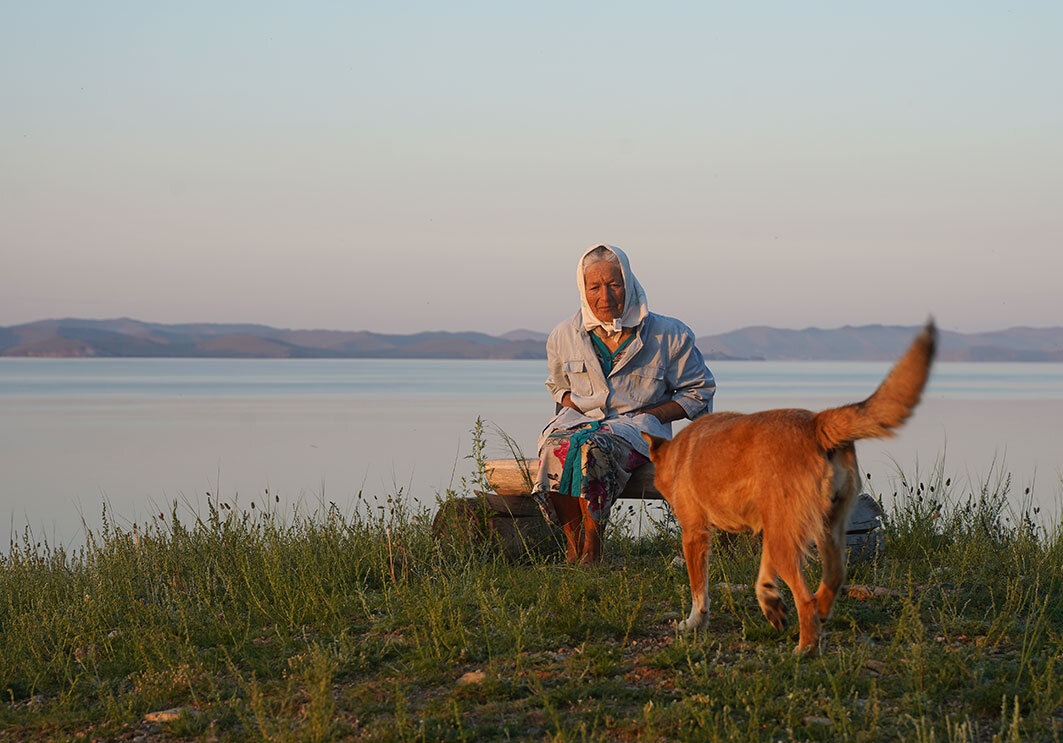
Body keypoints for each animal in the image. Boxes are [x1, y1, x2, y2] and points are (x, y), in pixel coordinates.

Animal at [642, 323, 935, 654]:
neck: (677, 453)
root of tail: (817, 423)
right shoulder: (772, 528)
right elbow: (763, 578)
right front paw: (771, 604)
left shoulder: (696, 533)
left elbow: (698, 590)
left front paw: (694, 622)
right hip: (824, 530)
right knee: (833, 578)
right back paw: (821, 614)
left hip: (791, 540)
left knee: (805, 599)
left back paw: (805, 648)